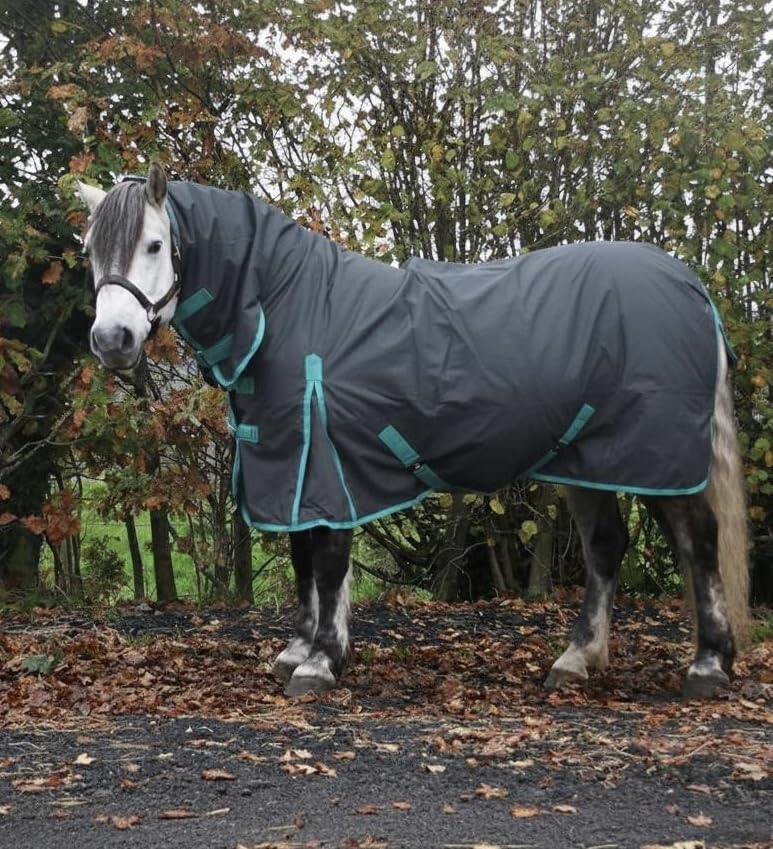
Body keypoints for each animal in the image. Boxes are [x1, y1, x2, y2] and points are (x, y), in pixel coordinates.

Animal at [76, 164, 750, 699]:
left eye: (156, 244)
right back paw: (576, 659)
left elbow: (327, 563)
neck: (288, 307)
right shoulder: (292, 465)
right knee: (606, 546)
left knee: (699, 543)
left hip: (658, 460)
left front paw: (321, 662)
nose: (112, 341)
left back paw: (708, 666)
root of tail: (691, 288)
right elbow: (304, 560)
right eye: (88, 251)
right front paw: (300, 650)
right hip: (586, 460)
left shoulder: (324, 464)